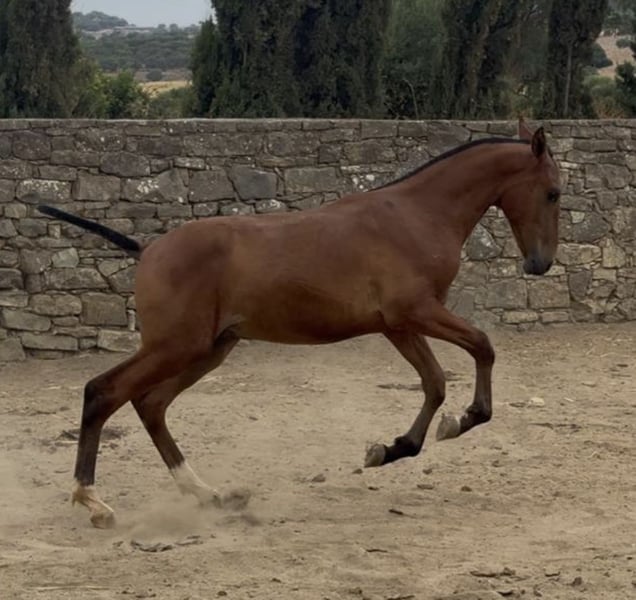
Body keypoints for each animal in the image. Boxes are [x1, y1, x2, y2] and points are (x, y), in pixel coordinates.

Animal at [37, 119, 561, 528]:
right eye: (554, 193)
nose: (540, 264)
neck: (414, 216)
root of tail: (148, 250)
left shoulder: (398, 326)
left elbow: (434, 384)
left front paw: (393, 448)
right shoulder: (416, 313)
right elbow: (483, 346)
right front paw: (463, 420)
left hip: (209, 349)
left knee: (151, 405)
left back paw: (209, 494)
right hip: (176, 346)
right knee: (104, 392)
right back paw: (94, 502)